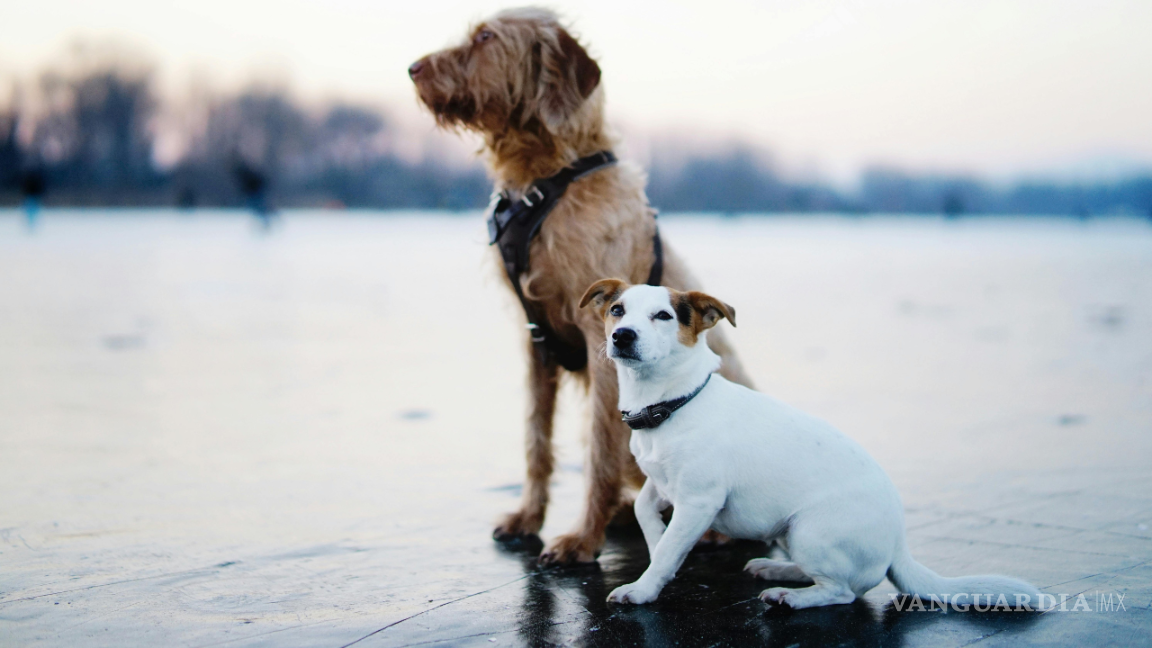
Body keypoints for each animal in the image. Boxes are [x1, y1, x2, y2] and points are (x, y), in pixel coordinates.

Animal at [410, 6, 751, 560]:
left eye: (486, 37)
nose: (412, 68)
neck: (548, 178)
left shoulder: (601, 343)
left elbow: (600, 449)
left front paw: (582, 538)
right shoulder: (535, 341)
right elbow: (536, 439)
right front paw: (528, 518)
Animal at [580, 277, 1041, 604]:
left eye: (663, 316)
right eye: (618, 310)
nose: (622, 335)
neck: (673, 403)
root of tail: (899, 546)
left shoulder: (698, 501)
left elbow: (666, 552)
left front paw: (643, 588)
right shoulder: (662, 482)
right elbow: (644, 511)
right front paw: (657, 538)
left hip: (809, 529)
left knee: (842, 591)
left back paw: (791, 596)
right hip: (790, 532)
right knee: (825, 575)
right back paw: (780, 571)